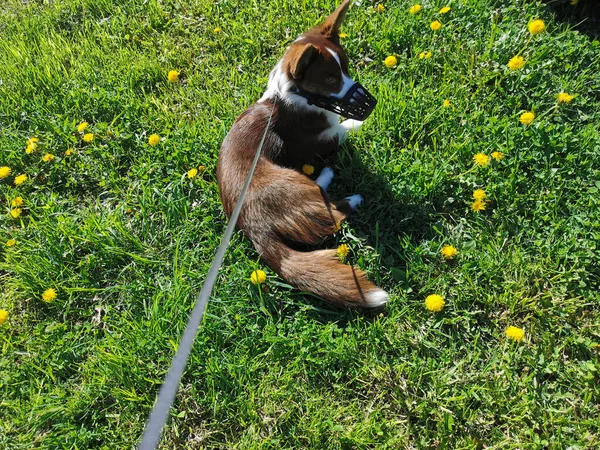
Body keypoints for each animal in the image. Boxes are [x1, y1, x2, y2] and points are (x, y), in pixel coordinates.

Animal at [217, 0, 390, 310]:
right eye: (330, 78)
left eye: (346, 68)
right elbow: (344, 127)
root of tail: (253, 226)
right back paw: (348, 194)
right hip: (294, 182)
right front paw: (359, 122)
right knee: (334, 214)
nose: (369, 103)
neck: (291, 96)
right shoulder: (328, 137)